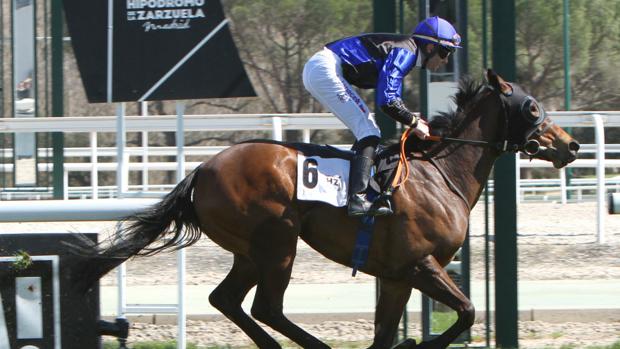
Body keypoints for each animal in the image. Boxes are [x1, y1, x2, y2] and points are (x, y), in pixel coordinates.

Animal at [74, 68, 580, 348]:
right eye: (532, 108)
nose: (571, 145)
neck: (440, 174)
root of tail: (201, 169)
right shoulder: (421, 265)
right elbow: (468, 312)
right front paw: (419, 342)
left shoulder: (396, 277)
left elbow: (385, 335)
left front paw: (404, 340)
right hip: (278, 242)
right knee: (267, 308)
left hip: (249, 251)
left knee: (228, 300)